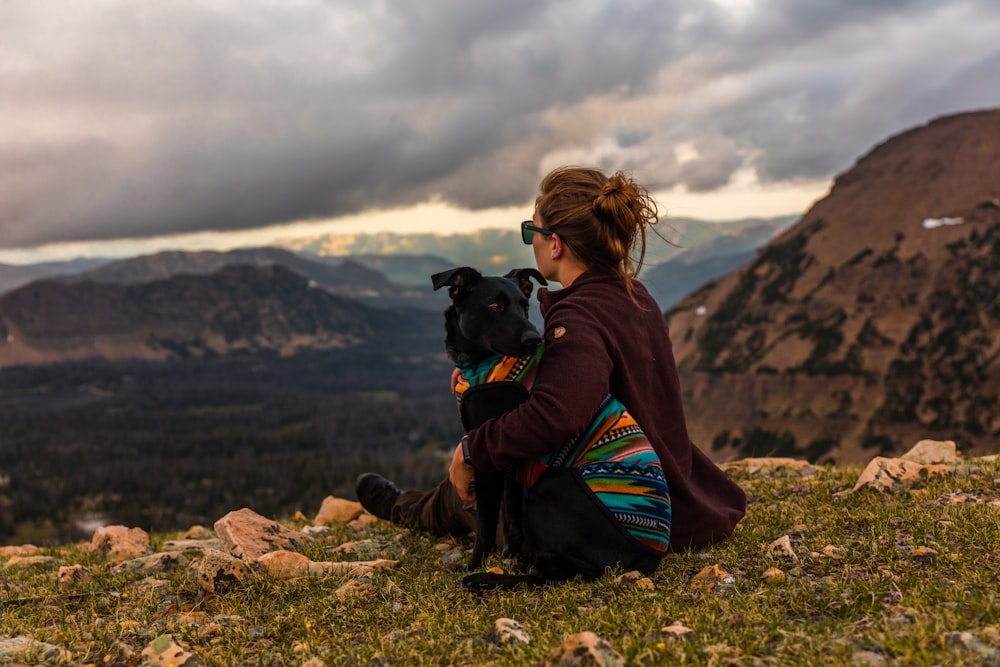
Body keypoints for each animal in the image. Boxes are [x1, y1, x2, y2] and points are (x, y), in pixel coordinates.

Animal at [426, 266, 544, 576]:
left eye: (524, 306)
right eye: (494, 305)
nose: (535, 339)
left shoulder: (487, 452)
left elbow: (486, 521)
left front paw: (475, 564)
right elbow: (511, 513)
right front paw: (511, 555)